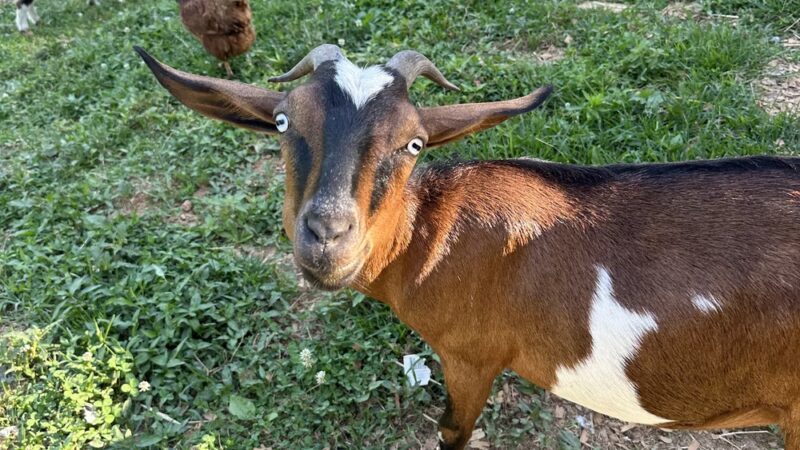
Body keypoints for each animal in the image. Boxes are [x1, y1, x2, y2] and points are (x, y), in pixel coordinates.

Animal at [135, 44, 800, 450]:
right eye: (281, 122)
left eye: (414, 143)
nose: (327, 237)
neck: (433, 234)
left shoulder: (471, 355)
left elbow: (451, 429)